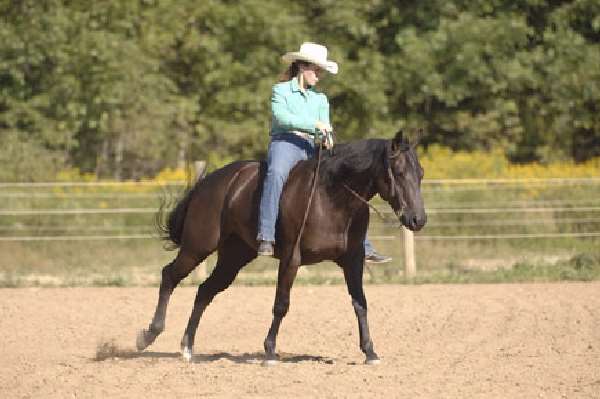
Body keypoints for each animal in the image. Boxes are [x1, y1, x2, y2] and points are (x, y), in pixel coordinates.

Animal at [137, 131, 426, 366]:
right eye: (399, 172)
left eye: (420, 173)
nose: (418, 219)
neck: (331, 198)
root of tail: (209, 182)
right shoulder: (291, 258)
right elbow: (281, 305)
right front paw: (270, 352)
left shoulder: (353, 261)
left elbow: (360, 303)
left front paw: (370, 351)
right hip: (197, 247)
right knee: (169, 276)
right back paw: (148, 335)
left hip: (233, 258)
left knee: (204, 291)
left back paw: (187, 347)